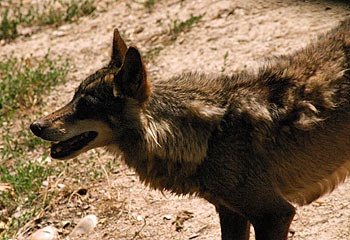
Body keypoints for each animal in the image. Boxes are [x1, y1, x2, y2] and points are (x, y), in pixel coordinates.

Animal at [30, 19, 350, 239]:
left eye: (85, 106)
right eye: (73, 97)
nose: (35, 126)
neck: (210, 135)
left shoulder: (274, 214)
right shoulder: (230, 213)